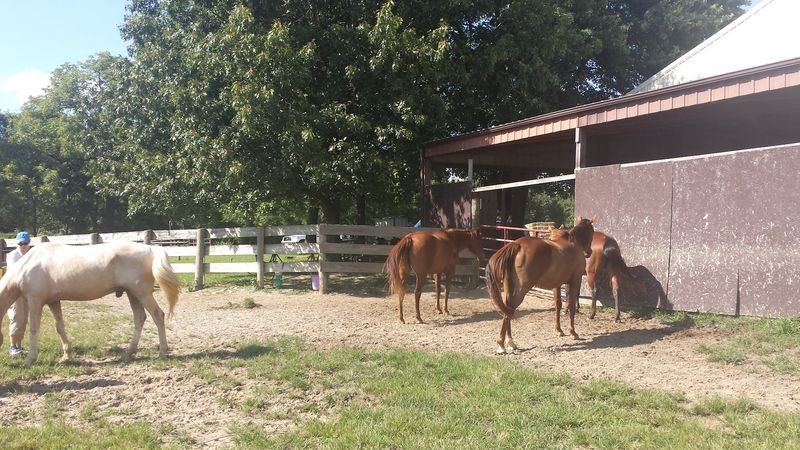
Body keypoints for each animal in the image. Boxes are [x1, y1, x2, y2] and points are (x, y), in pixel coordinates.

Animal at [0, 241, 181, 367]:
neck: (28, 265)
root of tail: (150, 248)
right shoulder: (53, 301)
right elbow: (60, 327)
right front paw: (66, 356)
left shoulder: (35, 301)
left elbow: (33, 329)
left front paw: (30, 360)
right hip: (132, 294)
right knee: (140, 318)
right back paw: (129, 352)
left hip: (142, 293)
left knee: (158, 315)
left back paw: (162, 353)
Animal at [485, 218, 594, 354]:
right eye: (592, 231)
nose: (589, 252)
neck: (574, 243)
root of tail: (517, 245)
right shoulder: (575, 281)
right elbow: (571, 305)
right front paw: (573, 332)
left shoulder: (557, 284)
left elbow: (558, 305)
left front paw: (559, 330)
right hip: (520, 291)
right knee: (509, 310)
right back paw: (501, 344)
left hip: (509, 289)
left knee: (507, 309)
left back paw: (510, 342)